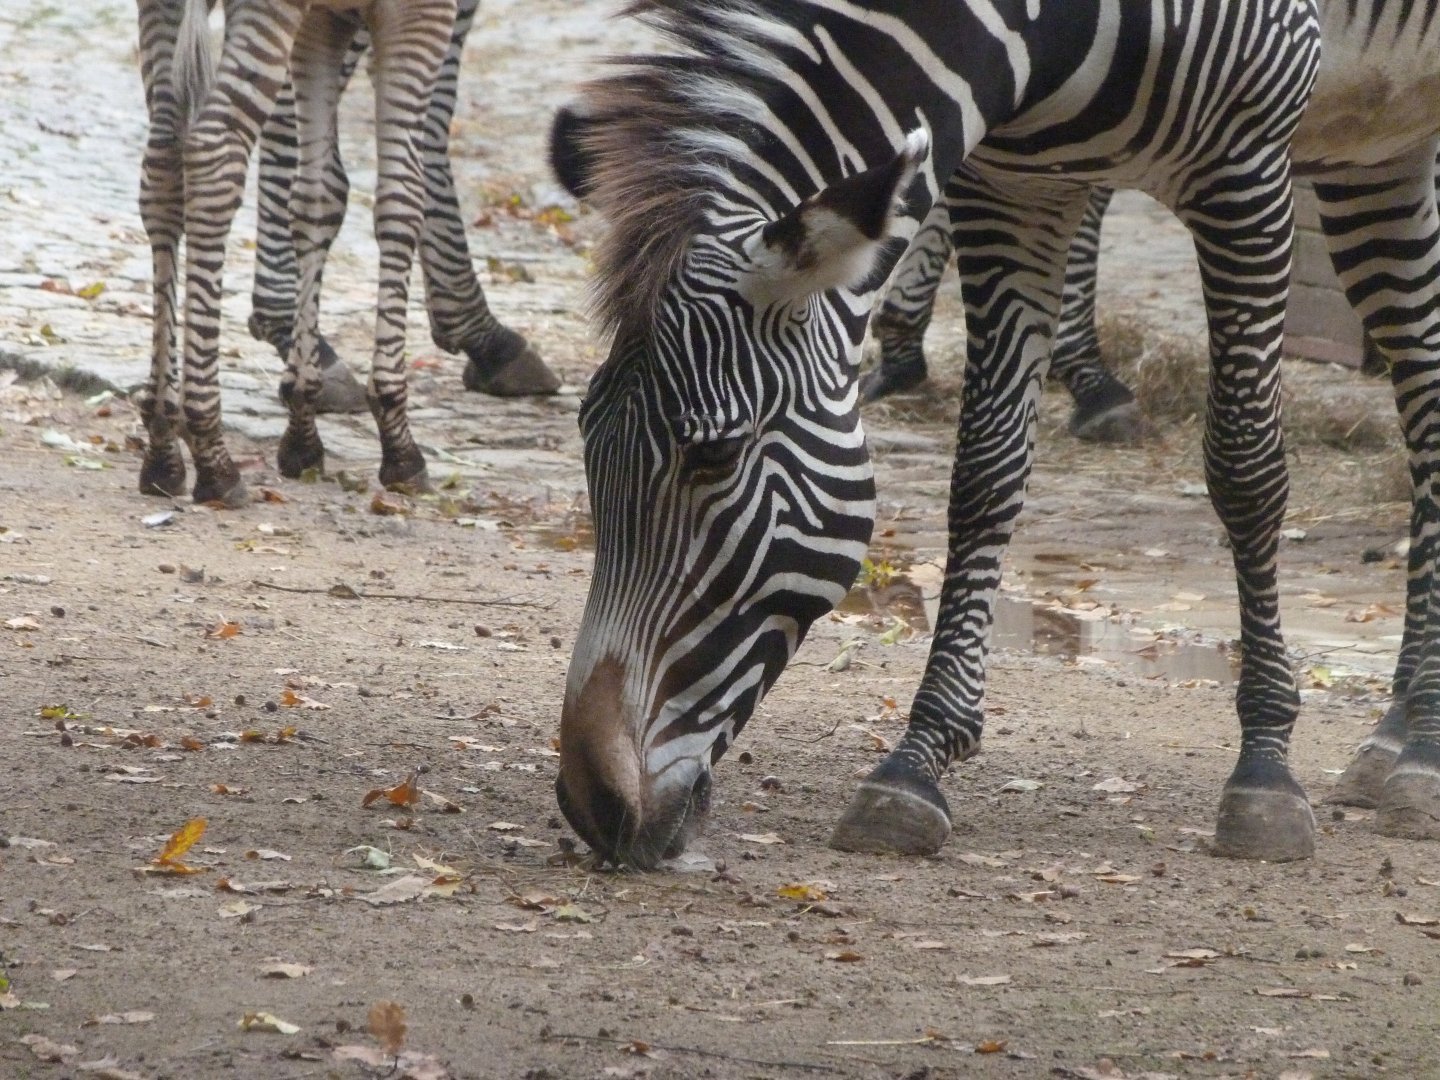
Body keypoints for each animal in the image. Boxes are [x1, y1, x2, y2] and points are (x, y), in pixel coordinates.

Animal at [135, 0, 456, 506]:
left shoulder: (325, 21)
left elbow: (318, 197)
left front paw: (303, 430)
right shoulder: (421, 12)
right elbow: (402, 199)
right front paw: (398, 442)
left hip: (160, 12)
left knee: (162, 168)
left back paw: (163, 445)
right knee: (213, 154)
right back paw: (212, 454)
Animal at [549, 0, 1339, 869]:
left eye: (715, 452)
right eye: (585, 432)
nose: (591, 806)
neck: (1045, 32)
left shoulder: (1249, 156)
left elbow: (1245, 464)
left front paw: (1265, 769)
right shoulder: (1011, 186)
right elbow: (988, 471)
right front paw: (917, 761)